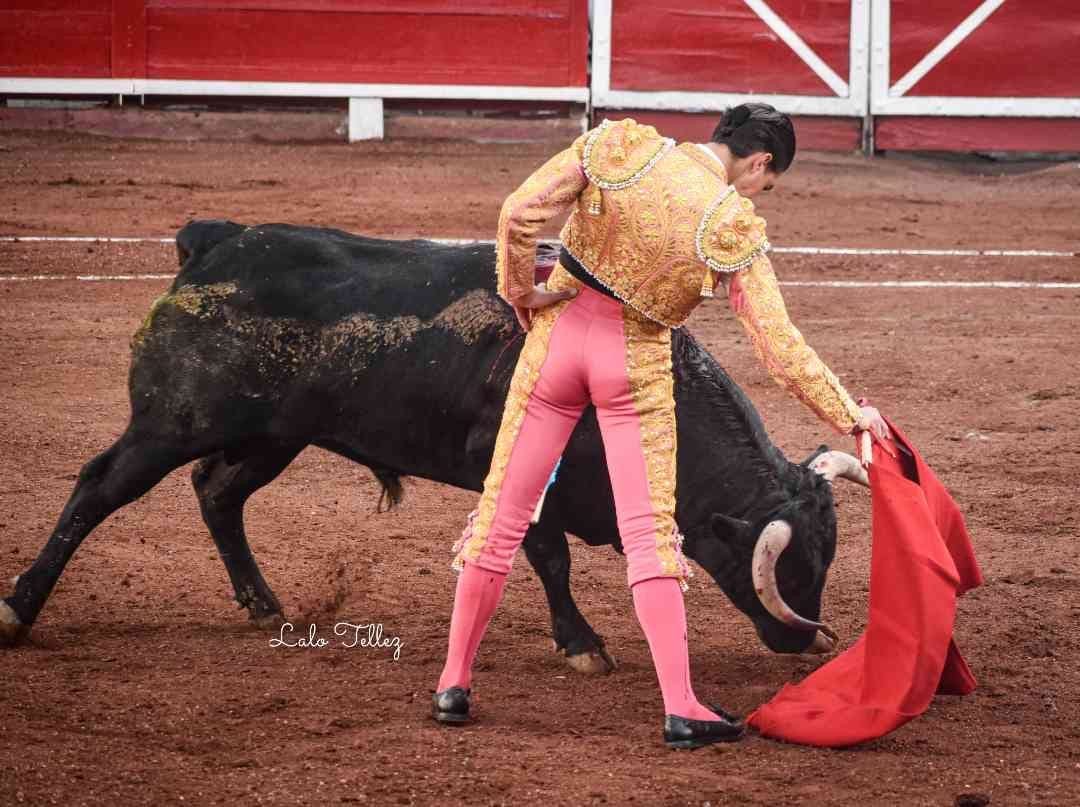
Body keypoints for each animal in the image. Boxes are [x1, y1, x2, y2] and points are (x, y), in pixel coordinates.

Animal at [0, 220, 868, 671]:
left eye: (822, 559)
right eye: (787, 567)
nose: (805, 640)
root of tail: (213, 243)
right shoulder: (515, 470)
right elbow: (547, 555)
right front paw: (582, 643)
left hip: (274, 437)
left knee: (217, 492)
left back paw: (263, 601)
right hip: (172, 424)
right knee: (99, 486)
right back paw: (19, 608)